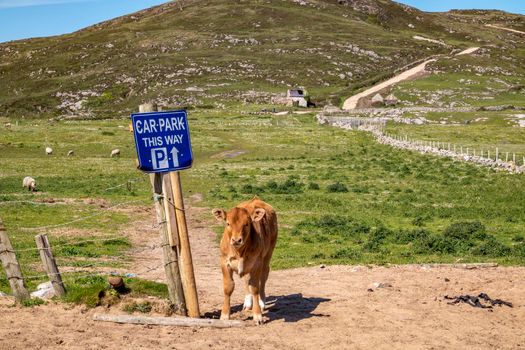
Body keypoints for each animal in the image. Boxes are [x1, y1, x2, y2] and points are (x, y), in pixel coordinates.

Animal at [213, 197, 278, 326]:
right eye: (228, 223)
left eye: (247, 224)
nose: (236, 240)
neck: (239, 252)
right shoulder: (224, 262)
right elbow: (228, 287)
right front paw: (225, 315)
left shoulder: (257, 263)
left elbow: (255, 288)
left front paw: (257, 315)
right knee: (246, 279)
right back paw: (248, 303)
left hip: (267, 255)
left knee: (263, 276)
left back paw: (262, 302)